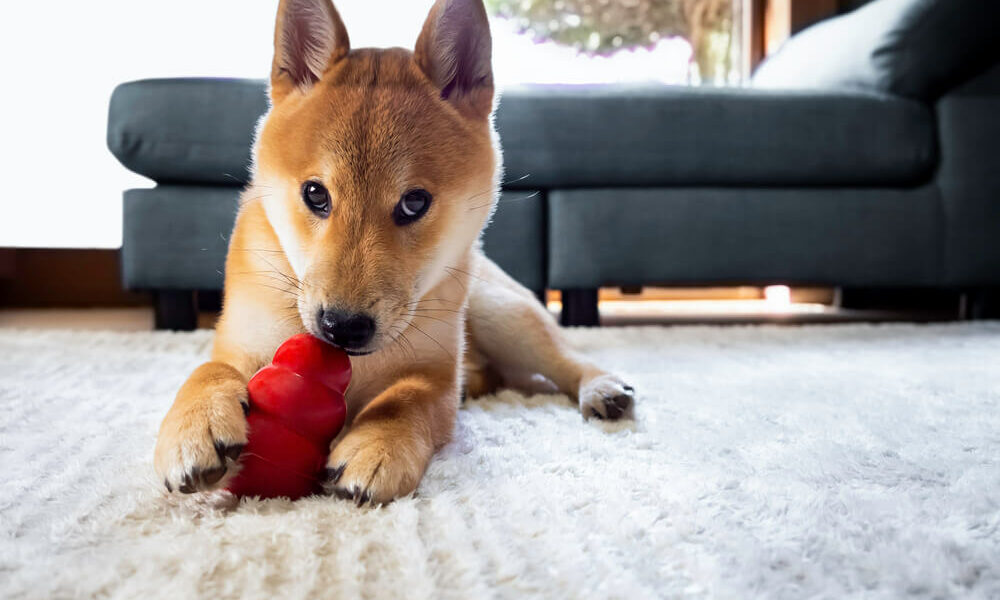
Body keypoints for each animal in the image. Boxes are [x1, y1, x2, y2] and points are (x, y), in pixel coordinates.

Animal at [156, 0, 636, 506]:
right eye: (315, 194)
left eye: (414, 203)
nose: (343, 327)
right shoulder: (242, 340)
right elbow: (209, 369)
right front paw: (195, 426)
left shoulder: (437, 375)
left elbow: (407, 400)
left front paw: (377, 445)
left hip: (500, 313)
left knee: (563, 359)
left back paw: (602, 387)